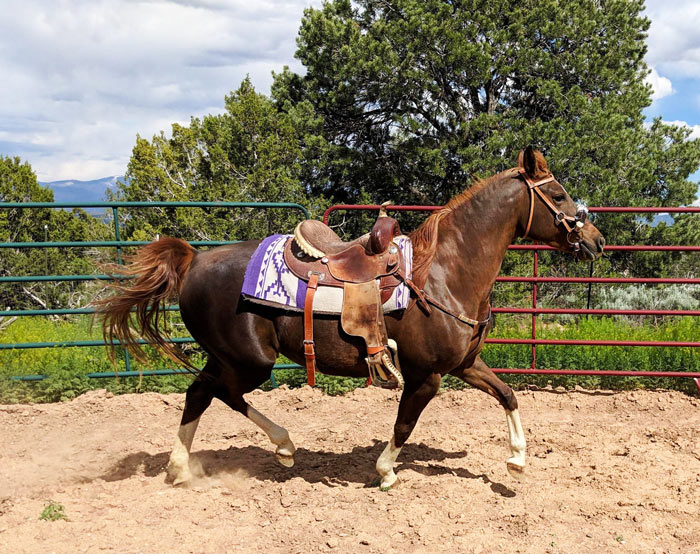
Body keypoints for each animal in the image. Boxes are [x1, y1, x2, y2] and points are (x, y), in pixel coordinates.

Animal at [96, 147, 605, 490]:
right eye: (558, 194)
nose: (596, 240)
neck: (443, 273)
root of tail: (194, 261)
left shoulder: (464, 364)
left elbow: (508, 394)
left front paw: (517, 460)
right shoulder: (426, 376)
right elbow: (404, 424)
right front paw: (385, 472)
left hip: (229, 357)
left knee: (200, 393)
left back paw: (188, 466)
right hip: (251, 361)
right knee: (218, 393)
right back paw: (279, 445)